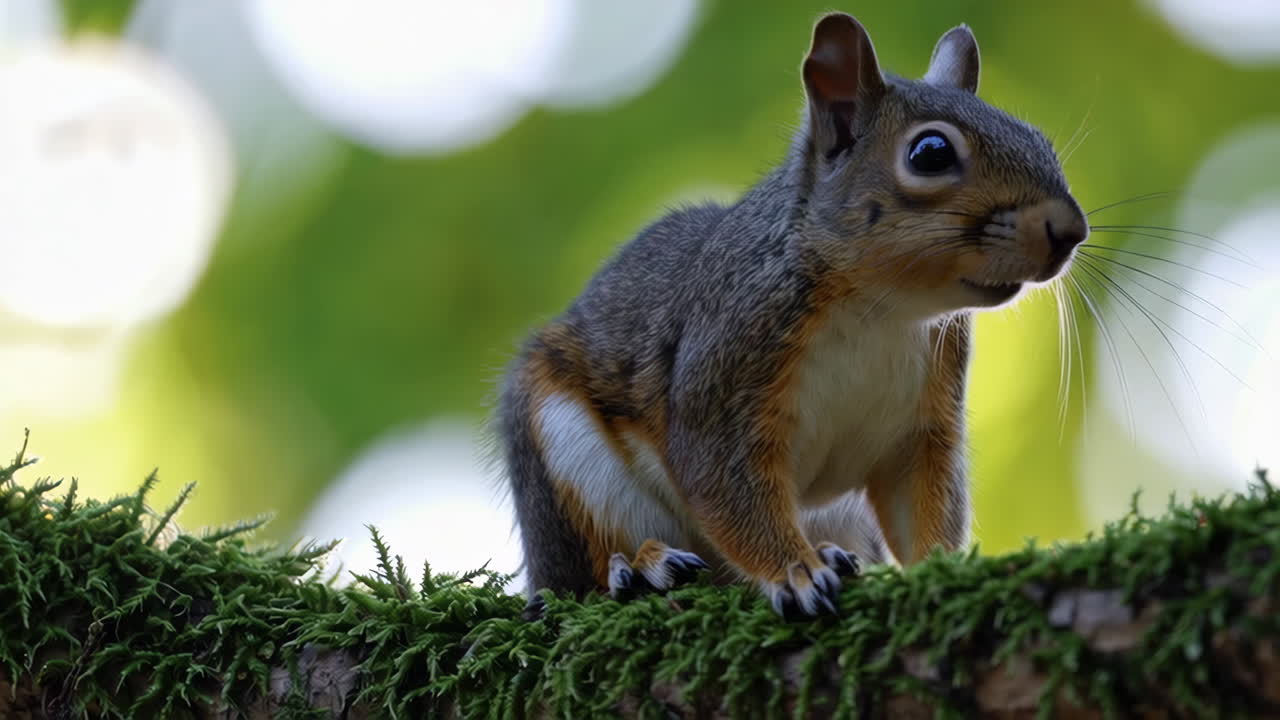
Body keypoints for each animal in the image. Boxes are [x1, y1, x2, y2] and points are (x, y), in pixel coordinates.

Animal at [497, 12, 1087, 619]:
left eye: (1038, 138)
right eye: (930, 153)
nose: (1070, 230)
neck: (880, 309)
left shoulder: (920, 425)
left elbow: (922, 504)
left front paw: (941, 569)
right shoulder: (726, 368)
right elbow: (729, 487)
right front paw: (794, 572)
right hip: (565, 454)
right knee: (583, 573)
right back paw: (640, 569)